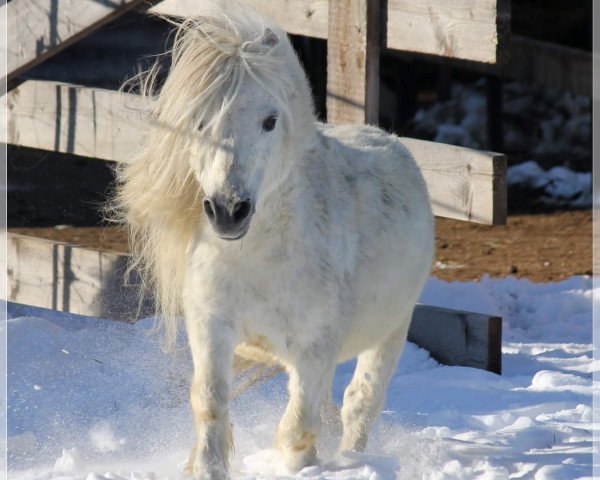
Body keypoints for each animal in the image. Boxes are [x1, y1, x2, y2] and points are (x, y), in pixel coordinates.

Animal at [111, 1, 432, 478]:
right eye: (199, 122)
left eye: (270, 120)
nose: (229, 210)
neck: (260, 260)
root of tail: (387, 139)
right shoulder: (211, 329)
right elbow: (211, 404)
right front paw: (206, 468)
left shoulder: (314, 351)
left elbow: (297, 430)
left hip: (391, 330)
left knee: (361, 402)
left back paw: (354, 461)